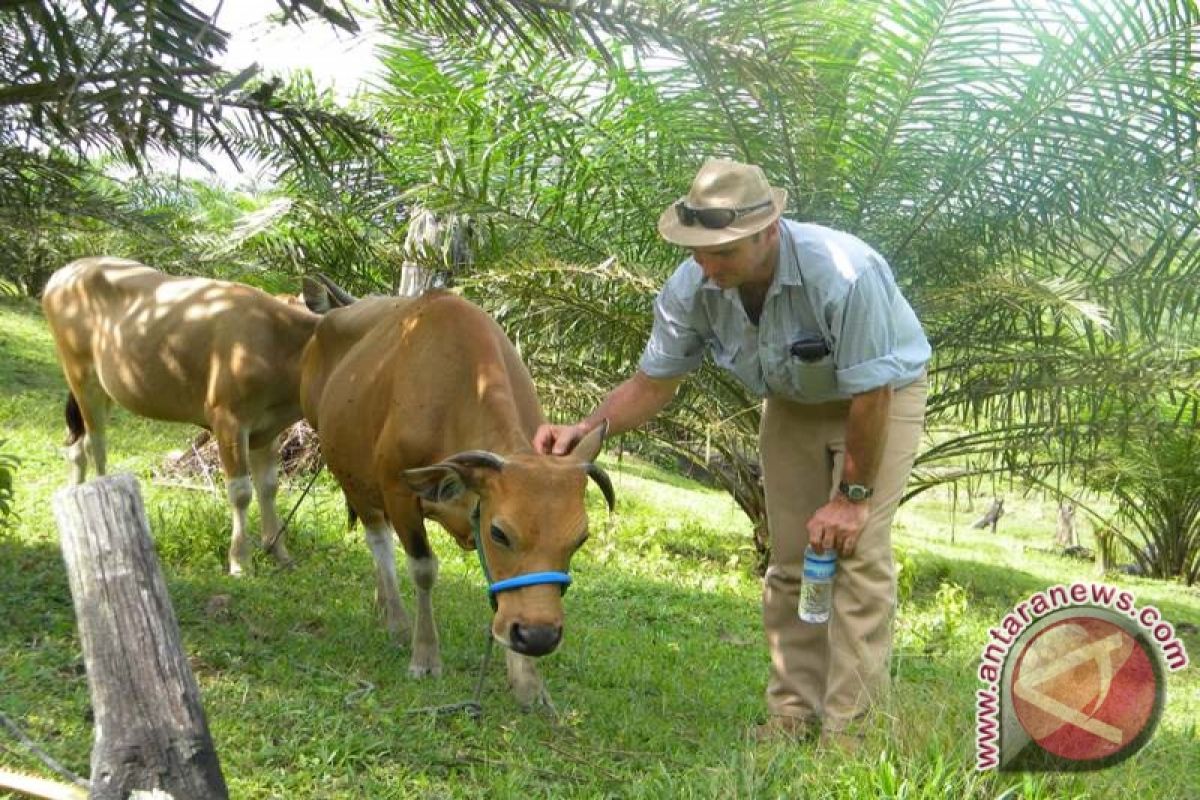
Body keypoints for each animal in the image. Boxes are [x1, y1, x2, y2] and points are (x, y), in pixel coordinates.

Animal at [42, 257, 319, 575]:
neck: (278, 342)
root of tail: (63, 274)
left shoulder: (267, 430)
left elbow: (269, 487)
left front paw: (279, 551)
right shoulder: (229, 422)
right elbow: (241, 492)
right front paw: (240, 560)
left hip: (101, 386)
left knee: (77, 444)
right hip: (81, 375)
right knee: (95, 445)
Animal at [300, 281, 619, 705]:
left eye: (580, 539)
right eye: (500, 533)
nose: (538, 637)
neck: (457, 395)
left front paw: (528, 680)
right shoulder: (398, 491)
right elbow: (422, 568)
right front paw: (425, 655)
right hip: (350, 472)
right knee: (377, 538)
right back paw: (396, 619)